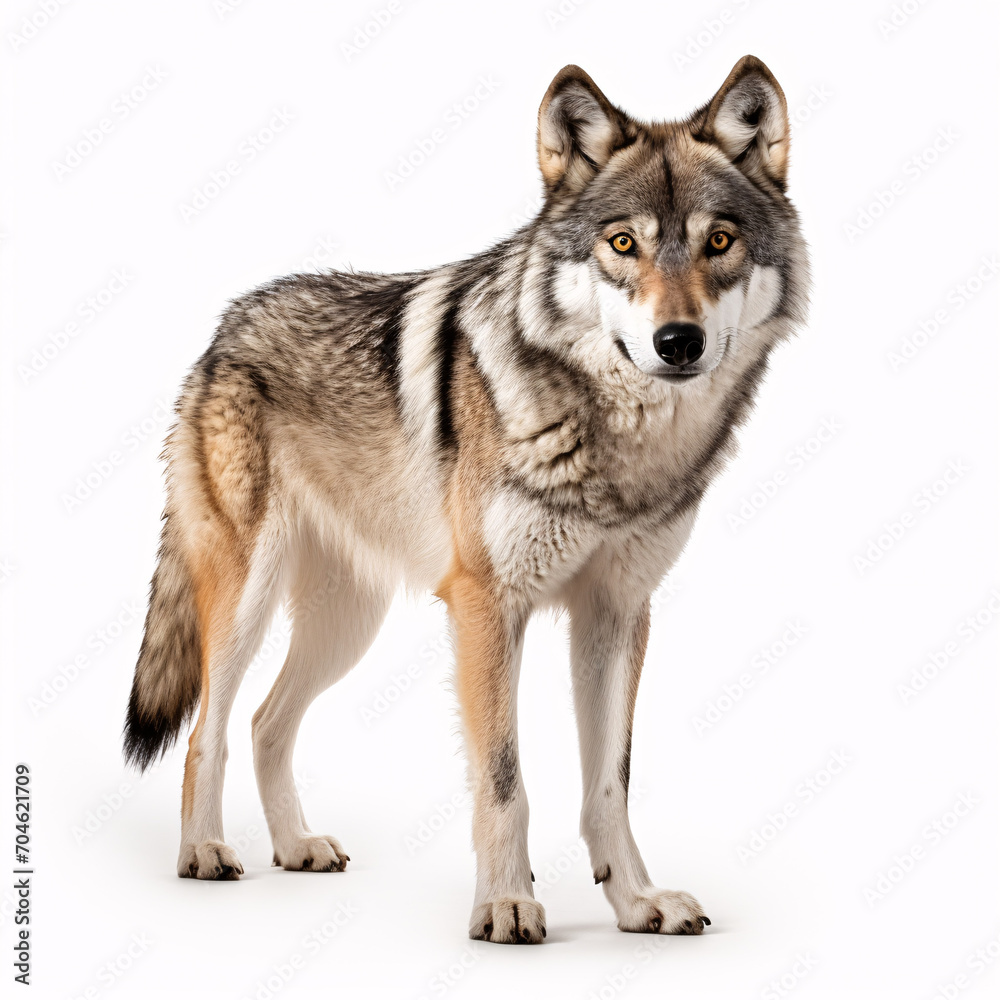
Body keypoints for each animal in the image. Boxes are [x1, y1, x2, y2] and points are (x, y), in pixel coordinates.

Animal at [123, 55, 809, 944]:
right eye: (623, 243)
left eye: (718, 242)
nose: (678, 342)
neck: (619, 447)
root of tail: (223, 328)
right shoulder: (488, 605)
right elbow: (505, 783)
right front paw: (507, 905)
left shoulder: (617, 614)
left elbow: (610, 785)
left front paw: (636, 903)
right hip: (245, 601)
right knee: (209, 729)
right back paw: (204, 851)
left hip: (348, 626)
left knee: (265, 721)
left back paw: (297, 846)